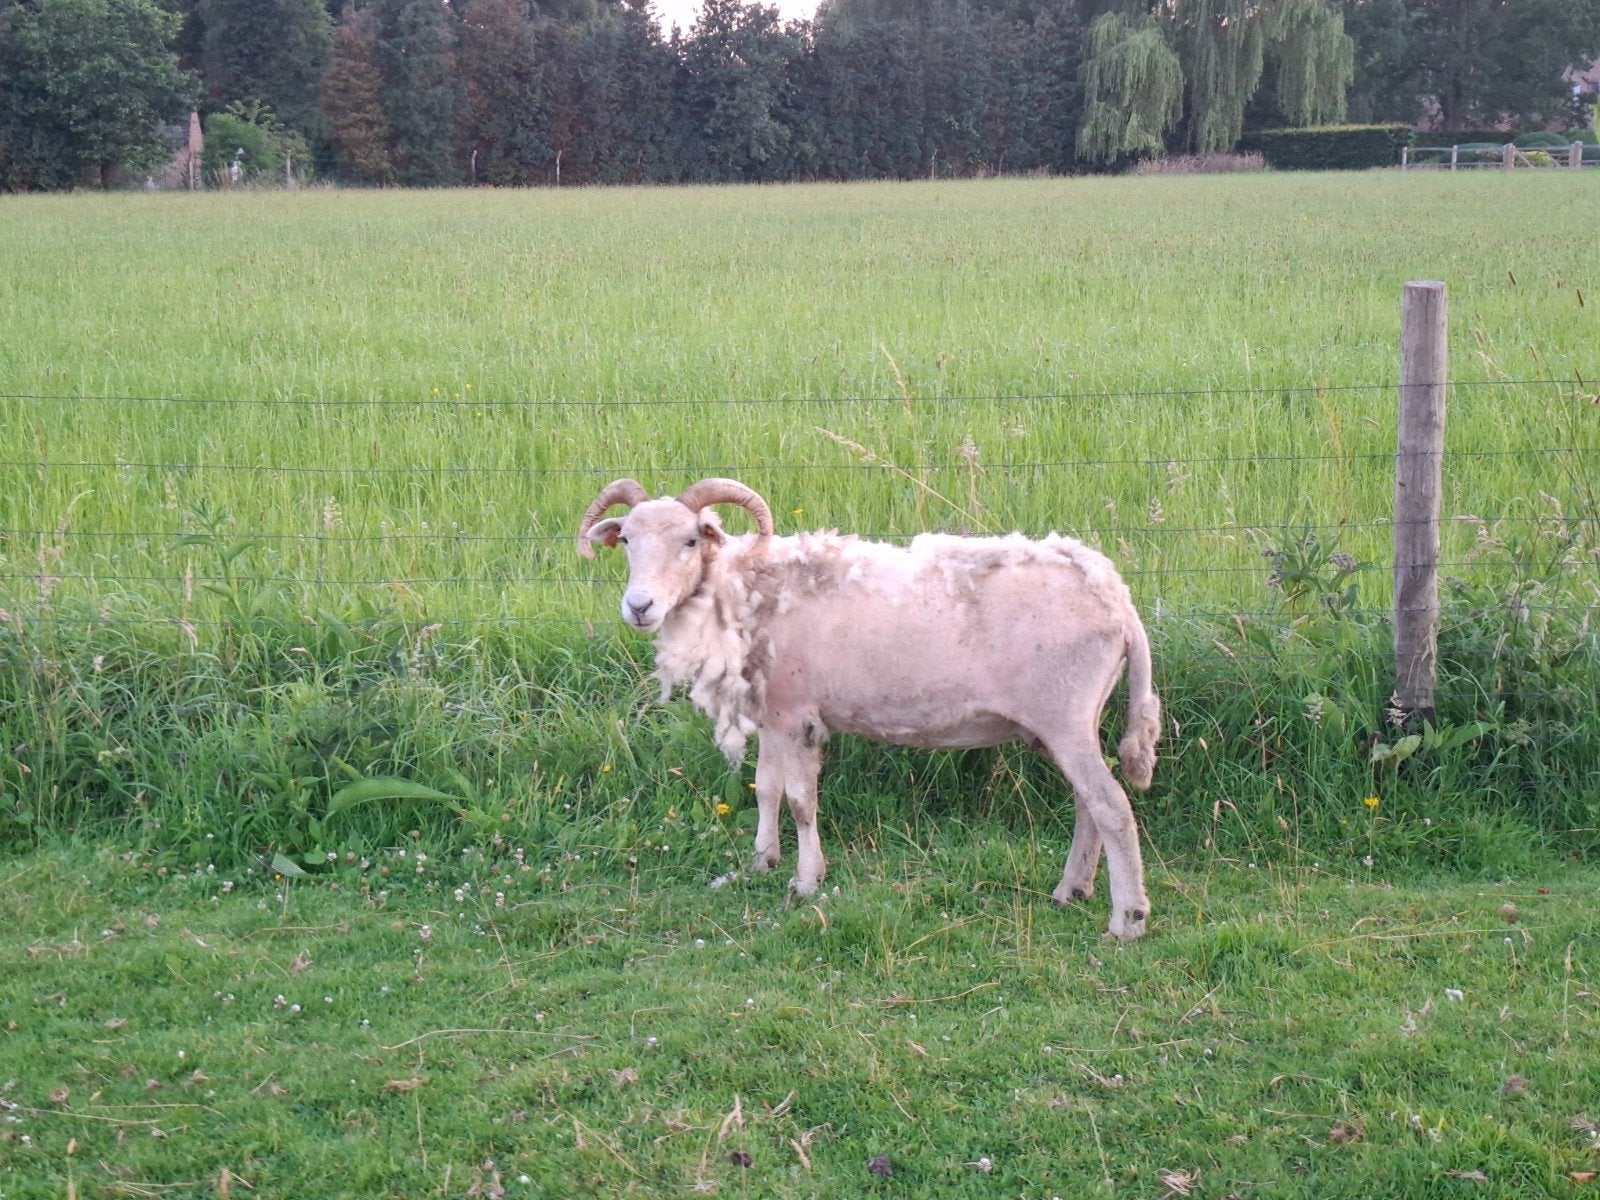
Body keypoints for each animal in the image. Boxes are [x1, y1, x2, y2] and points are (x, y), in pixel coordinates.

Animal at [577, 477, 1161, 940]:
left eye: (691, 539)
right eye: (626, 540)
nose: (639, 607)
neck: (745, 589)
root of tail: (1116, 597)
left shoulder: (797, 715)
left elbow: (799, 801)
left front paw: (806, 880)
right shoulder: (773, 714)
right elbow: (765, 789)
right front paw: (762, 862)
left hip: (1063, 714)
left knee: (1111, 806)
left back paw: (1126, 920)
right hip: (1071, 722)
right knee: (1089, 803)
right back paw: (1072, 890)